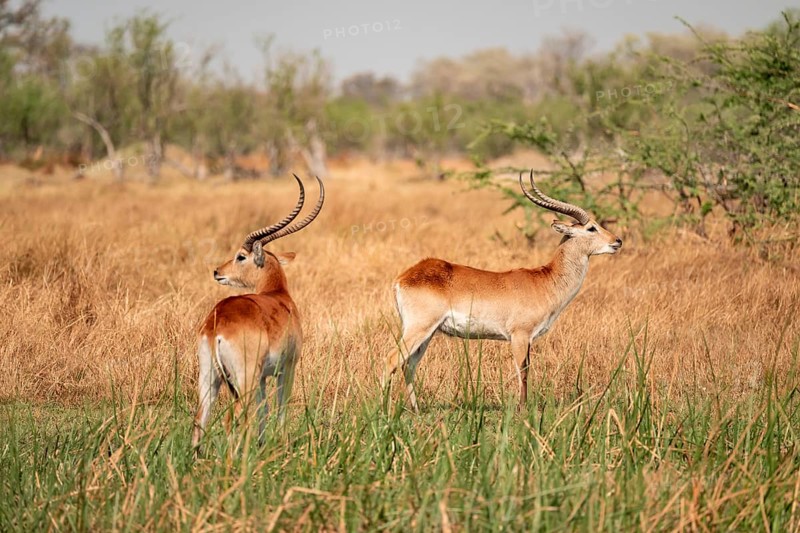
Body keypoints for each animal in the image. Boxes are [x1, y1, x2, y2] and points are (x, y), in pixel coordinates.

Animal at [191, 175, 324, 451]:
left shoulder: (264, 377)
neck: (277, 295)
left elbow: (264, 411)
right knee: (233, 418)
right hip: (243, 380)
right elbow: (281, 407)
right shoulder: (287, 368)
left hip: (210, 377)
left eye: (241, 256)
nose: (217, 271)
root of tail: (215, 326)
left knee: (201, 417)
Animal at [382, 171, 622, 411]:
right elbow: (523, 371)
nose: (617, 241)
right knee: (391, 359)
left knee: (408, 365)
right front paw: (522, 410)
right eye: (591, 228)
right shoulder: (520, 335)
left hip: (428, 332)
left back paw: (415, 410)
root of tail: (404, 277)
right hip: (419, 328)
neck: (545, 280)